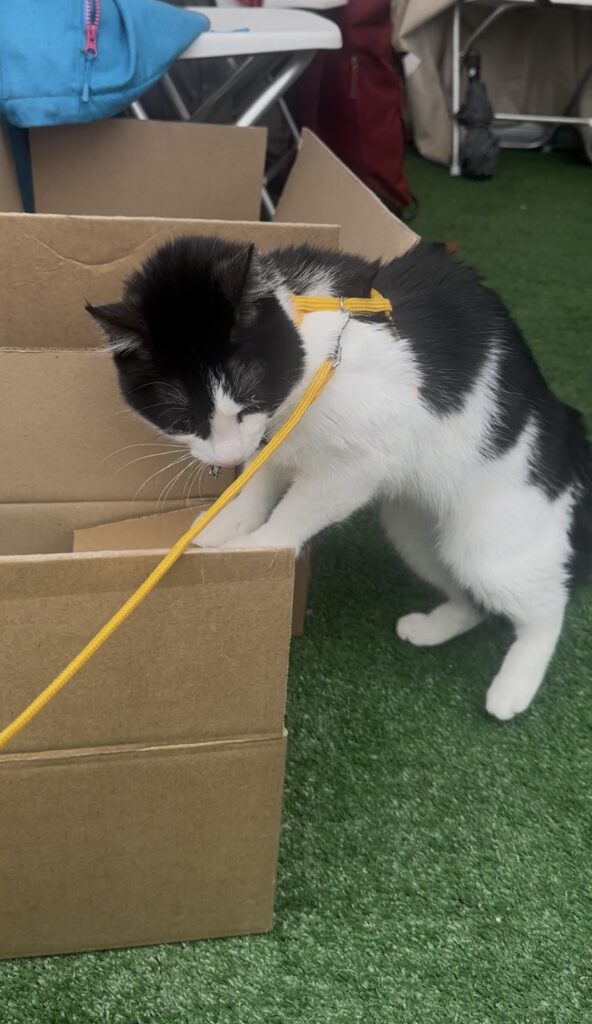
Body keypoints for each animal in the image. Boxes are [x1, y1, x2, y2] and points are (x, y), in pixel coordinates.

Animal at [87, 235, 592, 720]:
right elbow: (258, 483)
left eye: (247, 395)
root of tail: (569, 434)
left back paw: (515, 686)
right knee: (473, 598)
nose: (228, 454)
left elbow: (295, 513)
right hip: (415, 532)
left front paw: (256, 548)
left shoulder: (358, 462)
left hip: (489, 543)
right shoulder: (271, 442)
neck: (310, 345)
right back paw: (432, 627)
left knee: (545, 606)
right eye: (181, 417)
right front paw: (225, 523)